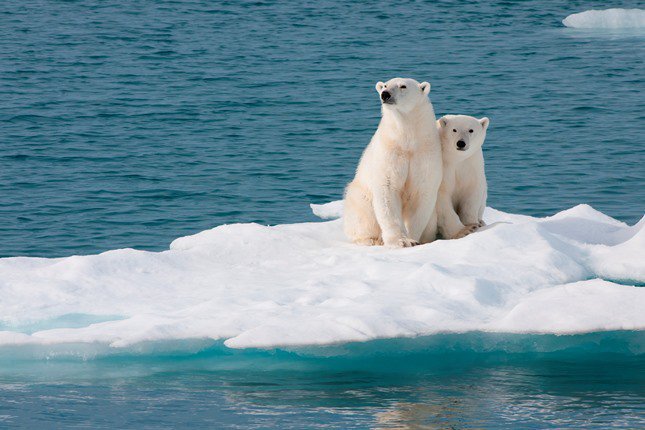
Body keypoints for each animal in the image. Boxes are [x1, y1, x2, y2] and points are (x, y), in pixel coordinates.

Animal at [343, 77, 443, 247]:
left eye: (403, 86)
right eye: (384, 85)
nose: (385, 94)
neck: (407, 139)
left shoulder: (425, 154)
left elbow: (422, 193)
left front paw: (413, 238)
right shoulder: (390, 152)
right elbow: (387, 189)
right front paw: (402, 241)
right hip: (360, 196)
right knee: (363, 217)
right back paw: (371, 239)